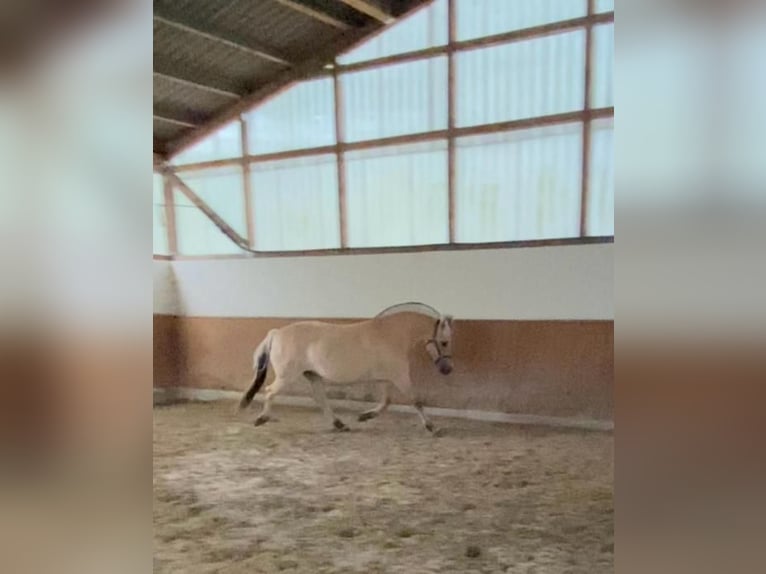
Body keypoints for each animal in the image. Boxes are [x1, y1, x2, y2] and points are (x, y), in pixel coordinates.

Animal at [240, 304, 452, 434]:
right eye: (444, 342)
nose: (447, 369)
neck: (391, 334)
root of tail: (277, 333)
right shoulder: (399, 377)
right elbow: (416, 401)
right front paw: (433, 428)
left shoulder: (385, 378)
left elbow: (386, 402)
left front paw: (365, 416)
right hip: (287, 376)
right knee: (270, 391)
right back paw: (262, 418)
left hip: (313, 375)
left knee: (321, 399)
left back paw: (340, 425)